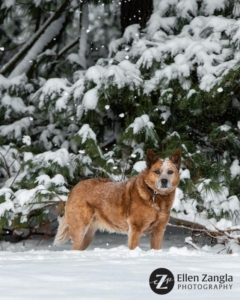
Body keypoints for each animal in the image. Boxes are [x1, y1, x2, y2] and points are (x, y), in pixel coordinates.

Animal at [53, 149, 181, 250]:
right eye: (157, 171)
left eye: (170, 171)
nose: (164, 181)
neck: (157, 197)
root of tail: (74, 187)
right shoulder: (135, 229)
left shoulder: (158, 231)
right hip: (80, 229)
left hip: (88, 235)